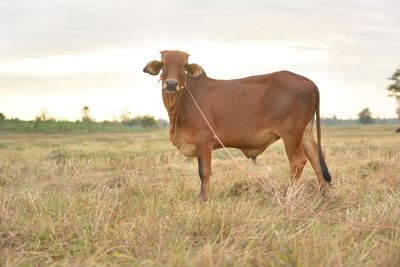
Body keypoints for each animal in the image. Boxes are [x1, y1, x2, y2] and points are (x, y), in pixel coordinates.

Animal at [144, 50, 332, 201]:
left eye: (183, 66)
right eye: (163, 65)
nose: (171, 84)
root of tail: (307, 81)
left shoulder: (204, 140)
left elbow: (204, 172)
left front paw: (203, 200)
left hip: (291, 134)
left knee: (298, 161)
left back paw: (289, 196)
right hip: (305, 132)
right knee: (316, 158)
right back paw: (324, 197)